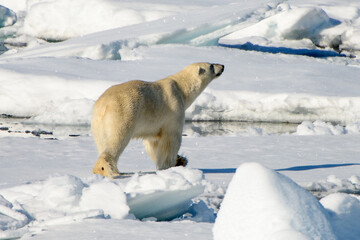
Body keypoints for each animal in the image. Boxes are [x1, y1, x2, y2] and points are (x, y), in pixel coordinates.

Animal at [91, 62, 224, 178]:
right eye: (211, 66)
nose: (222, 66)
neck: (181, 88)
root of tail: (103, 105)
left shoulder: (153, 124)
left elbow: (153, 143)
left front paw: (181, 160)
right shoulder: (174, 109)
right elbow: (171, 139)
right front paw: (171, 165)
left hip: (97, 123)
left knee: (102, 142)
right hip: (123, 113)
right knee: (116, 139)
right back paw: (104, 169)